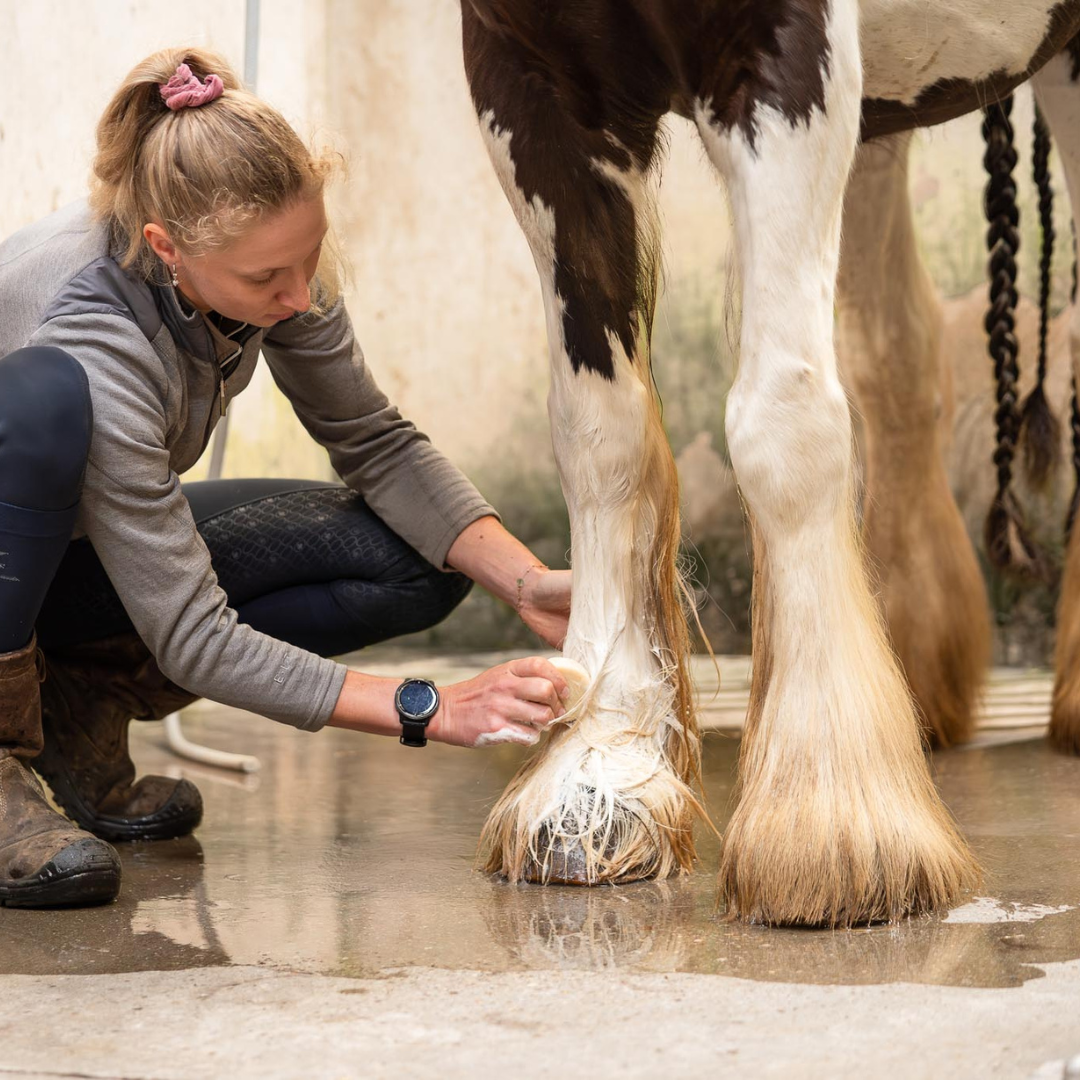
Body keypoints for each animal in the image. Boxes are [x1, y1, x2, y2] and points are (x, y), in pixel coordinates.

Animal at [457, 0, 1080, 928]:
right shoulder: (531, 81)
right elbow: (600, 429)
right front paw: (601, 764)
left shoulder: (780, 55)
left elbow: (783, 420)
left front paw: (831, 819)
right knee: (895, 351)